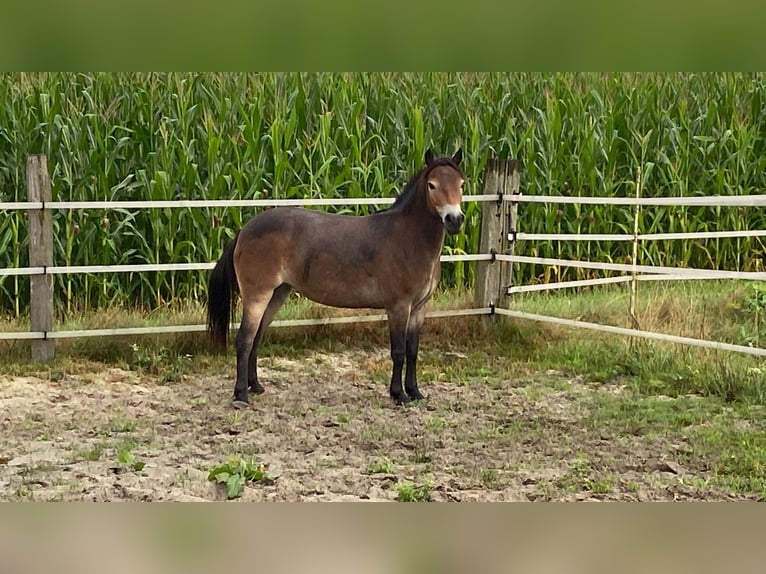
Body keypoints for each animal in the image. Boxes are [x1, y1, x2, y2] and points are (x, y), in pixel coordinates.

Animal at [207, 150, 464, 410]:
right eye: (432, 185)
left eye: (461, 184)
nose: (454, 219)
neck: (408, 238)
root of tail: (244, 230)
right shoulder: (398, 307)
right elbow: (399, 352)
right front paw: (398, 395)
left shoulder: (419, 308)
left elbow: (412, 351)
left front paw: (415, 392)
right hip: (258, 296)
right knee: (244, 339)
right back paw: (241, 395)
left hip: (277, 294)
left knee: (256, 337)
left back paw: (256, 386)